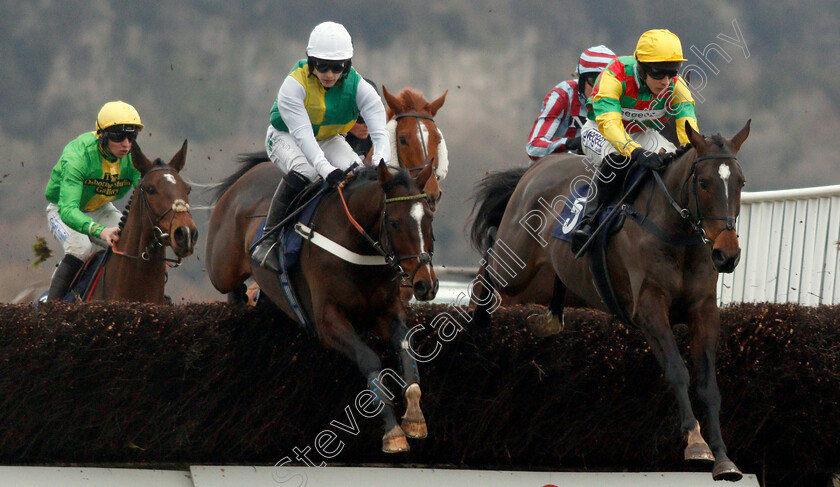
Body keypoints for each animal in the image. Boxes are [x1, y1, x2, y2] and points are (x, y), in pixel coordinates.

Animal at [206, 158, 440, 452]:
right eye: (395, 223)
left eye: (429, 217)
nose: (426, 285)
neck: (357, 246)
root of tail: (245, 178)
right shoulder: (328, 321)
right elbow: (369, 359)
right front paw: (393, 431)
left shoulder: (387, 311)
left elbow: (407, 350)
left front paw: (414, 417)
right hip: (221, 269)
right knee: (228, 285)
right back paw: (243, 295)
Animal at [470, 120, 752, 482]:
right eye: (703, 183)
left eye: (741, 183)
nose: (727, 255)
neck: (675, 234)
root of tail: (537, 168)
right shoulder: (648, 308)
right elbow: (677, 371)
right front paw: (695, 442)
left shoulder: (703, 310)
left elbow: (708, 385)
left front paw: (723, 457)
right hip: (516, 265)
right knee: (489, 263)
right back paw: (478, 325)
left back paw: (548, 321)